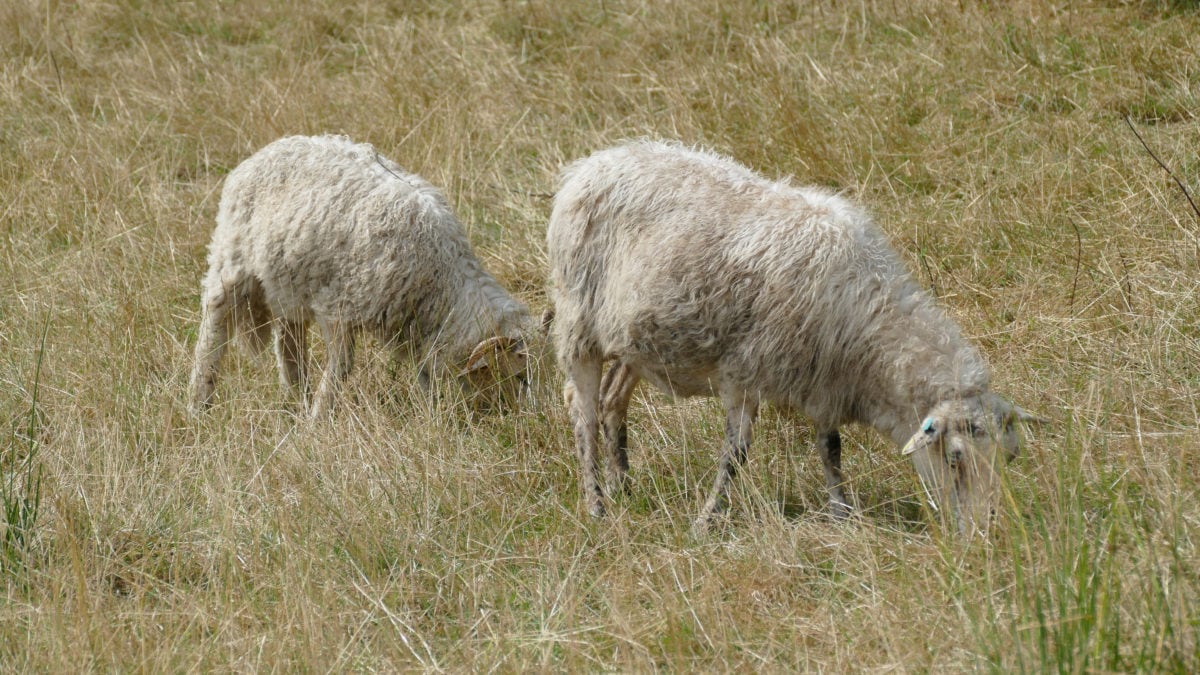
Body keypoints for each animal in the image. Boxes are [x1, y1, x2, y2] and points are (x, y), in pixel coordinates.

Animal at [188, 133, 535, 415]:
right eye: (520, 377)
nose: (530, 421)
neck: (442, 274)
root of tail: (262, 152)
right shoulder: (340, 306)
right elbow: (342, 366)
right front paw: (320, 418)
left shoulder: (414, 326)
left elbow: (424, 374)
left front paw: (433, 415)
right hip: (233, 260)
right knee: (214, 323)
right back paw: (199, 401)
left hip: (288, 281)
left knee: (288, 341)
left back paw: (297, 397)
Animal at [547, 139, 1041, 533]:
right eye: (955, 457)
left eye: (1010, 457)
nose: (987, 529)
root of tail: (594, 162)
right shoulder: (744, 372)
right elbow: (736, 453)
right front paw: (707, 520)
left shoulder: (826, 382)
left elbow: (830, 449)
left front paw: (842, 513)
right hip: (578, 320)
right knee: (583, 410)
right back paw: (596, 504)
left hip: (634, 337)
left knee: (613, 400)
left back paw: (624, 487)